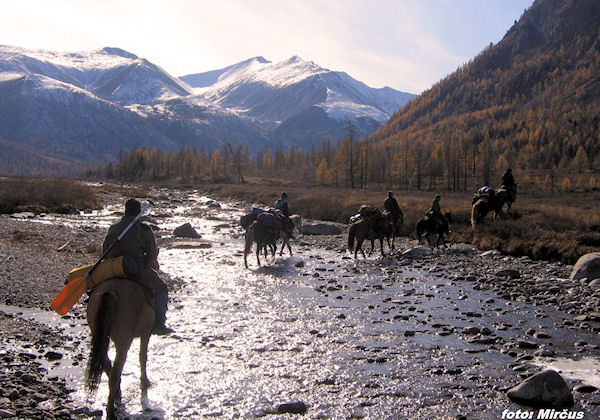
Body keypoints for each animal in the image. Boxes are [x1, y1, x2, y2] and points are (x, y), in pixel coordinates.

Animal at [85, 278, 155, 420]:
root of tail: (110, 291)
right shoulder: (147, 333)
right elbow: (142, 356)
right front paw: (145, 381)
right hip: (123, 342)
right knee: (115, 373)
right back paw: (111, 411)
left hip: (99, 334)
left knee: (106, 362)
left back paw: (117, 393)